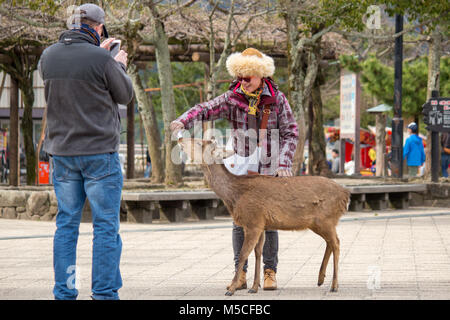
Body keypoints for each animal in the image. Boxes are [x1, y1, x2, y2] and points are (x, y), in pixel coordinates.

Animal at [178, 136, 350, 296]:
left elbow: (243, 253)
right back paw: (320, 279)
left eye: (200, 142)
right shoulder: (261, 224)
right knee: (330, 242)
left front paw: (231, 289)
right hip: (318, 223)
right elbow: (257, 253)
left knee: (337, 242)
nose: (179, 138)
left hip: (326, 219)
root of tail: (346, 194)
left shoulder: (253, 221)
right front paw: (253, 287)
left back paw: (334, 285)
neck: (235, 196)